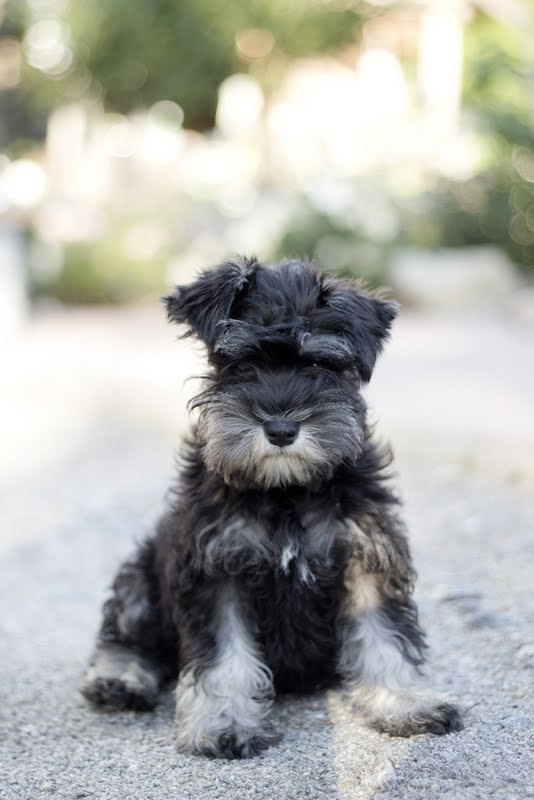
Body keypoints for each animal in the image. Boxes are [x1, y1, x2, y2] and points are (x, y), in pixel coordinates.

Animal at [81, 256, 462, 756]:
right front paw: (223, 723)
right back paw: (118, 679)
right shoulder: (215, 569)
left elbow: (385, 634)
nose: (281, 429)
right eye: (242, 362)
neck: (286, 491)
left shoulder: (367, 556)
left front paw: (404, 702)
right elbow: (223, 654)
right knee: (126, 636)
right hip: (140, 575)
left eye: (319, 361)